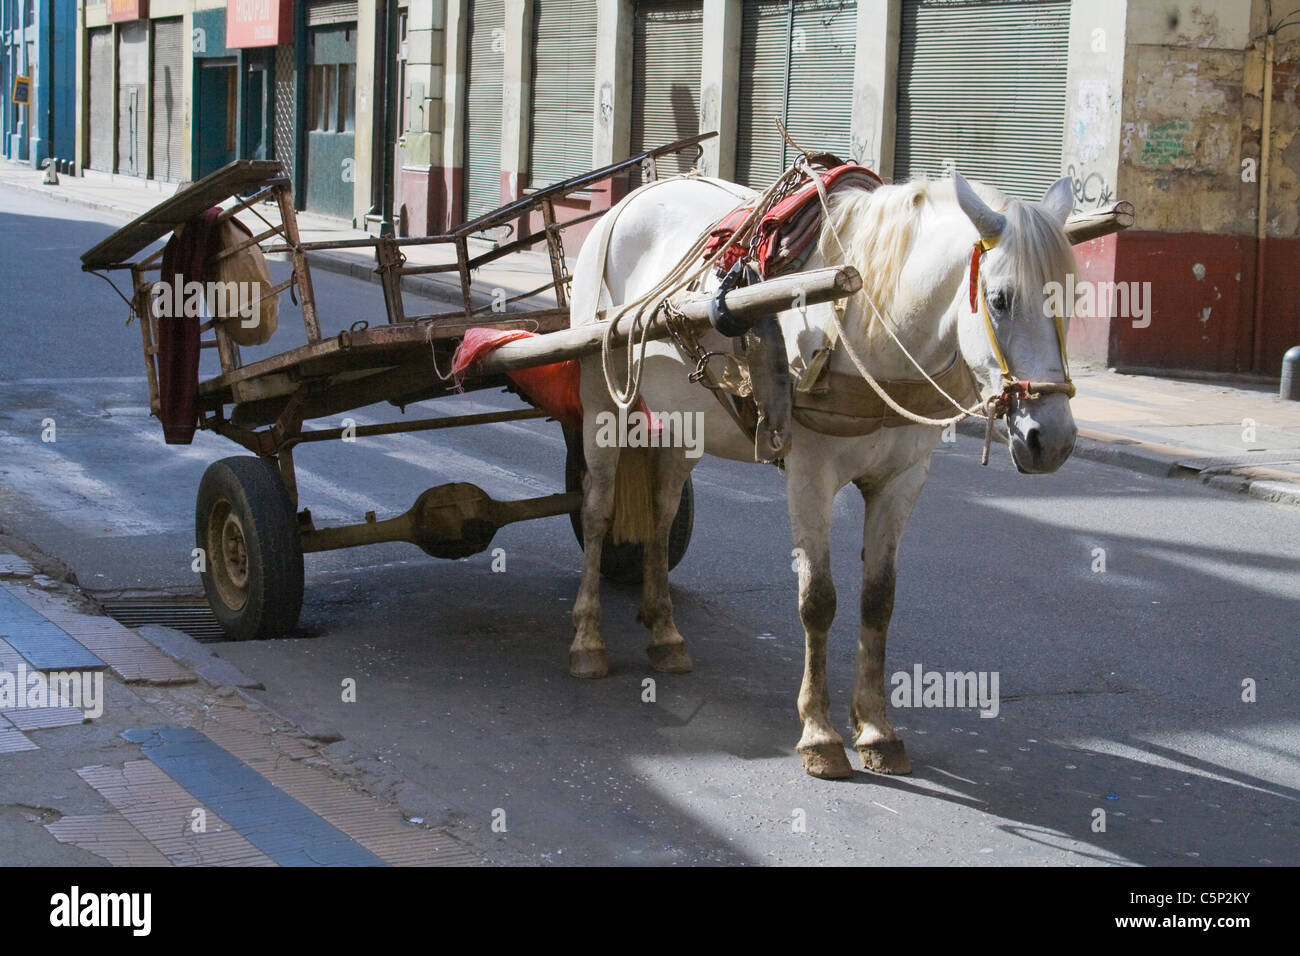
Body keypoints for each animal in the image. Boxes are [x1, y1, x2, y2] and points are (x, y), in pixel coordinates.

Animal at [569, 170, 1076, 780]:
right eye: (1000, 300)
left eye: (1073, 297)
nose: (1052, 439)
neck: (870, 327)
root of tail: (634, 195)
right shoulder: (809, 474)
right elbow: (819, 600)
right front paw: (819, 733)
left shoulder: (903, 480)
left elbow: (878, 599)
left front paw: (877, 729)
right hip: (601, 398)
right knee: (597, 512)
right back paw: (588, 639)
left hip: (685, 421)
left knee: (663, 514)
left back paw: (664, 630)